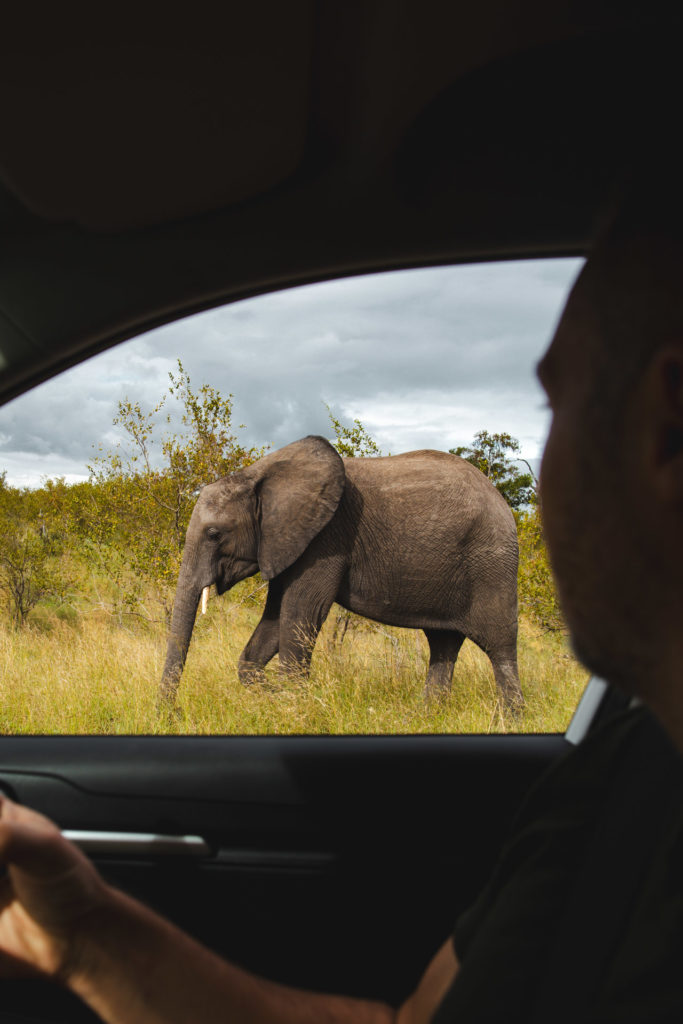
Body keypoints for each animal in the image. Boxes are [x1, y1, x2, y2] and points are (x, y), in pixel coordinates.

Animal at [159, 435, 523, 711]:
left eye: (213, 534)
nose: (171, 713)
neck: (258, 474)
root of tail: (501, 500)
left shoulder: (326, 538)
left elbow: (302, 613)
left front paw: (292, 704)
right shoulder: (288, 541)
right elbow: (276, 620)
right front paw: (276, 695)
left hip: (492, 564)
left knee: (500, 648)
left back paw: (509, 720)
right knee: (443, 644)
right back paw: (428, 716)